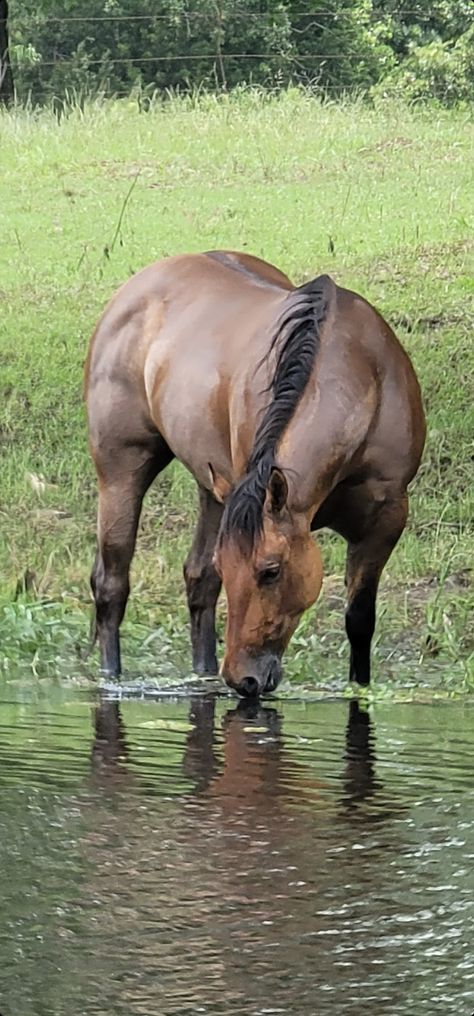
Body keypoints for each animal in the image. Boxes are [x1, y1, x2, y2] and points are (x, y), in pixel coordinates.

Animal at [86, 249, 426, 694]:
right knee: (112, 584)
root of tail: (131, 292)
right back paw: (110, 676)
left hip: (213, 489)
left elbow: (359, 620)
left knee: (198, 582)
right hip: (120, 471)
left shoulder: (385, 520)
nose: (242, 678)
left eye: (270, 571)